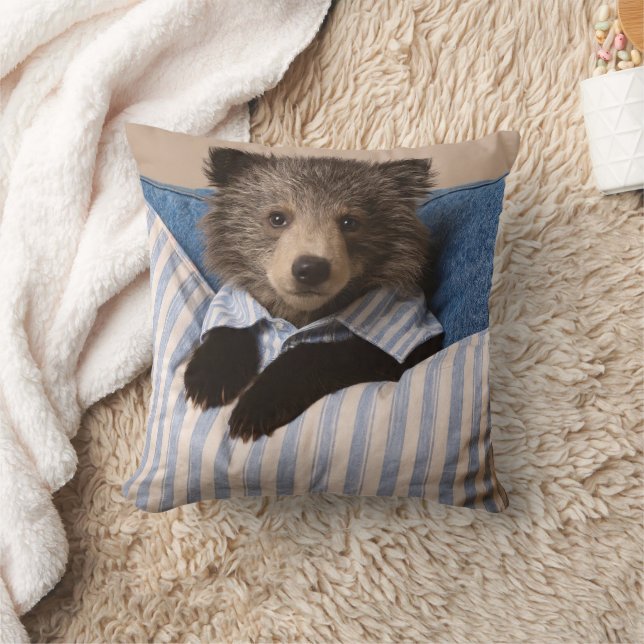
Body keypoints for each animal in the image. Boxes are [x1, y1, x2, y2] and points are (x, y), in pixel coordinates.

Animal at [184, 148, 443, 441]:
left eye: (349, 221)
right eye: (277, 217)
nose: (310, 268)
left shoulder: (403, 323)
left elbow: (335, 353)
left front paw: (255, 406)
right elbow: (229, 322)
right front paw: (209, 378)